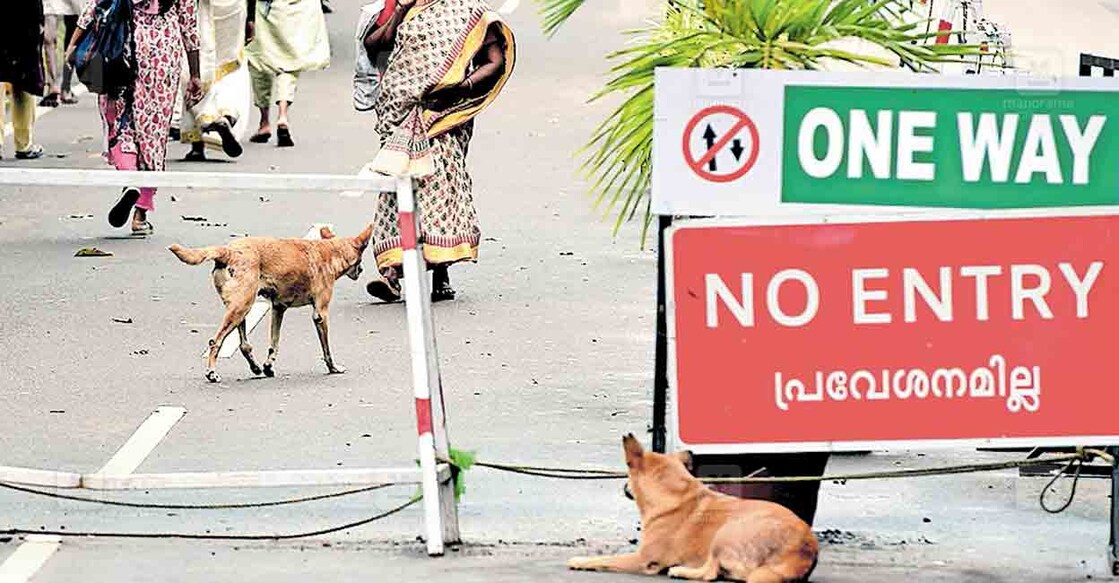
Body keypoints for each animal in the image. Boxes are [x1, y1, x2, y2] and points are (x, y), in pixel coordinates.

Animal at [167, 222, 373, 382]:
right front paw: (333, 368)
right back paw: (211, 373)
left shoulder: (278, 308)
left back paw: (256, 367)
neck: (330, 251)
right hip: (241, 308)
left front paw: (268, 366)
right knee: (215, 341)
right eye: (361, 259)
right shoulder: (320, 314)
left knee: (244, 345)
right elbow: (327, 349)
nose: (362, 270)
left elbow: (274, 342)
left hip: (240, 309)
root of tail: (228, 251)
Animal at [568, 434, 823, 577]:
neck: (674, 493)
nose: (624, 486)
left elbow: (603, 560)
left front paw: (580, 561)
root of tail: (804, 547)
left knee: (710, 573)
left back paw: (680, 571)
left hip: (726, 532)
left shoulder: (642, 559)